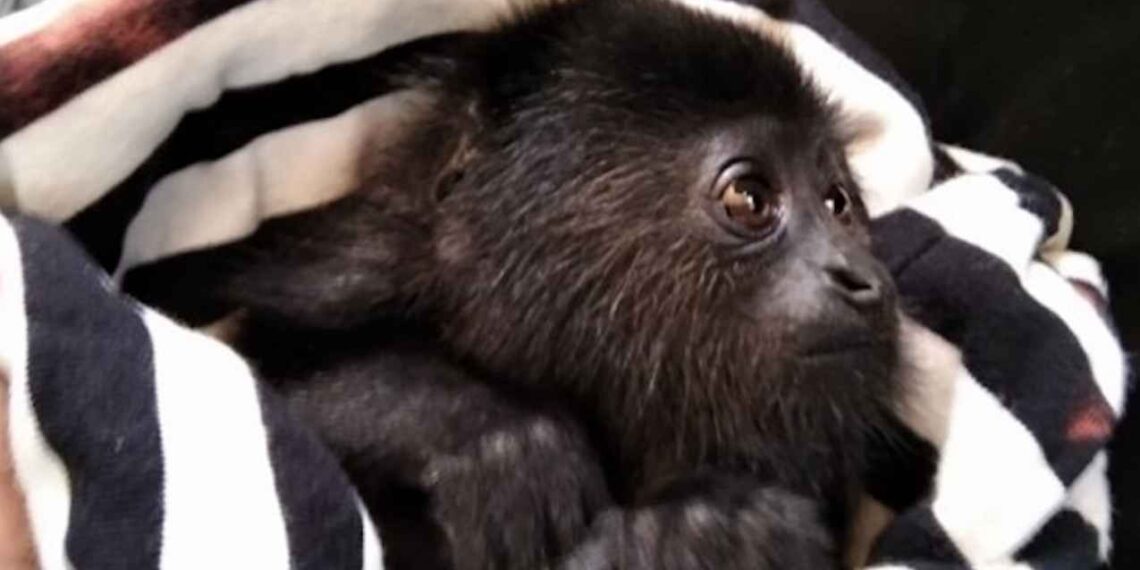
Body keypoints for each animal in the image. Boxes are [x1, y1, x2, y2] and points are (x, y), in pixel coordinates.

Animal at [122, 0, 901, 568]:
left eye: (838, 203)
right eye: (750, 198)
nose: (864, 277)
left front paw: (714, 526)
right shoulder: (347, 269)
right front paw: (486, 427)